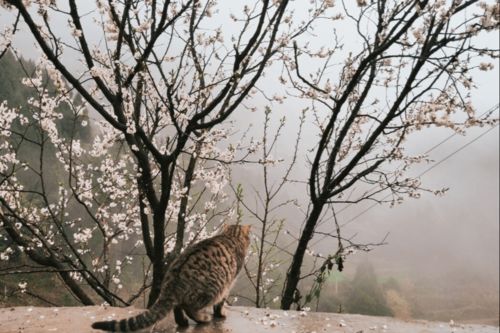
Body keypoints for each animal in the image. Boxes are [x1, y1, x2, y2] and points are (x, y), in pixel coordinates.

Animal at [91, 223, 250, 330]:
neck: (231, 235)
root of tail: (172, 282)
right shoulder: (229, 283)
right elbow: (220, 303)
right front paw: (220, 314)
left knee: (177, 307)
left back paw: (182, 322)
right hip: (214, 286)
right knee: (190, 308)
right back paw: (203, 318)